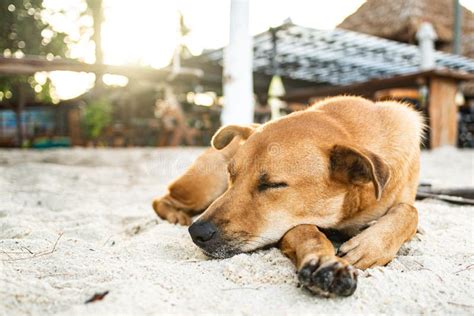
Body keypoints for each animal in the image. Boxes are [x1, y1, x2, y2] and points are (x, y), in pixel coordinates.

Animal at [153, 95, 426, 296]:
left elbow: (410, 210)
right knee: (161, 200)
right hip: (204, 186)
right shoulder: (291, 225)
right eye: (232, 174)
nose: (197, 233)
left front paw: (370, 245)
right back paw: (176, 215)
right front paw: (323, 261)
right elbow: (308, 233)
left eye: (272, 185)